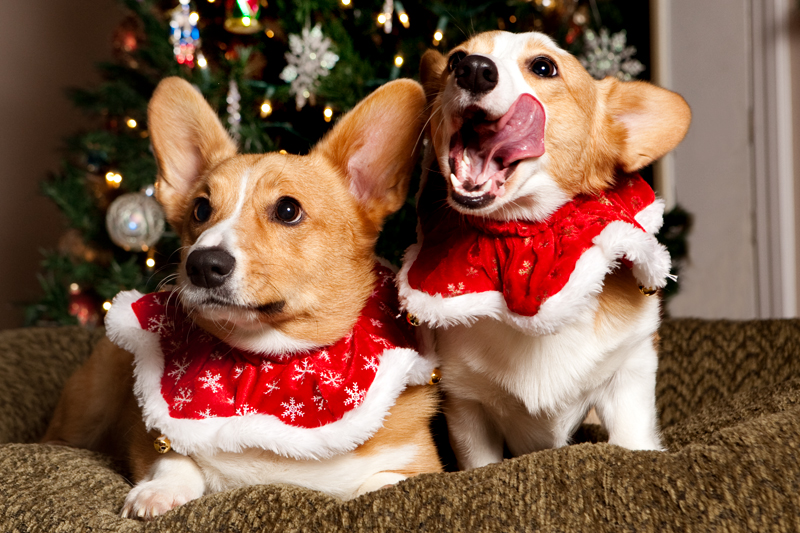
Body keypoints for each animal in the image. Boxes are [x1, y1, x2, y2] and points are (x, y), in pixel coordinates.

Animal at [42, 77, 444, 516]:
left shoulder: (420, 465)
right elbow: (174, 456)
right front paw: (158, 492)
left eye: (288, 210)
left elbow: (377, 485)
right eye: (201, 210)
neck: (271, 362)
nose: (202, 265)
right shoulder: (151, 436)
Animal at [396, 31, 692, 468]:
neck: (522, 238)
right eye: (456, 59)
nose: (473, 69)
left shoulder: (631, 369)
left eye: (543, 67)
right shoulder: (467, 405)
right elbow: (480, 462)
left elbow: (631, 437)